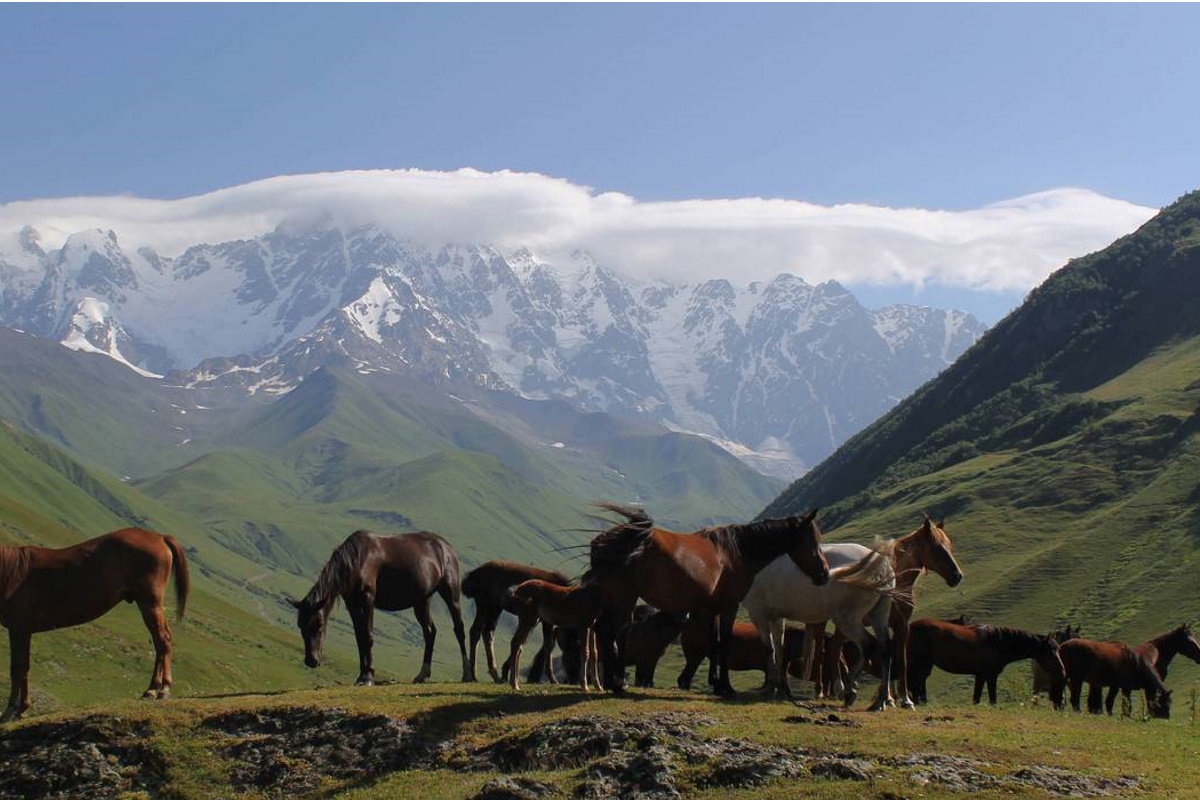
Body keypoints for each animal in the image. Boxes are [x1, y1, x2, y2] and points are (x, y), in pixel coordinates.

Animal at [0, 527, 189, 724]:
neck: (11, 572)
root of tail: (160, 537)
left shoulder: (19, 629)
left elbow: (17, 668)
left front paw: (12, 710)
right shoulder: (24, 631)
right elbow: (23, 668)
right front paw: (20, 708)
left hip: (149, 603)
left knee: (163, 640)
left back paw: (162, 689)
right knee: (159, 642)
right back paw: (152, 690)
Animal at [292, 532, 470, 690]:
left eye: (319, 625)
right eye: (301, 626)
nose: (311, 661)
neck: (358, 559)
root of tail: (446, 547)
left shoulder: (368, 599)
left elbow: (367, 635)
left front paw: (368, 677)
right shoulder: (352, 603)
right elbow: (359, 636)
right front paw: (362, 675)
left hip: (450, 593)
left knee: (459, 629)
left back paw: (467, 674)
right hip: (422, 600)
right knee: (430, 632)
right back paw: (422, 675)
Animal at [580, 503, 825, 695]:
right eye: (812, 540)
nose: (824, 573)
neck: (738, 551)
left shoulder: (711, 609)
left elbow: (714, 644)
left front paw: (715, 683)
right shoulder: (729, 606)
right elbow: (724, 643)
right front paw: (726, 687)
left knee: (606, 631)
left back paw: (612, 683)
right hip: (624, 597)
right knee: (611, 632)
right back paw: (615, 683)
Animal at [739, 542, 902, 710]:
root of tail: (880, 565)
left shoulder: (758, 614)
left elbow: (769, 650)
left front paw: (771, 688)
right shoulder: (776, 617)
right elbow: (779, 650)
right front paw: (780, 688)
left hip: (847, 620)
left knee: (868, 645)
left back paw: (850, 690)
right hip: (878, 616)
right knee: (885, 649)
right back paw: (882, 699)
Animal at [902, 623, 1065, 705]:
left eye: (1058, 649)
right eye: (1051, 652)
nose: (1062, 671)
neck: (998, 641)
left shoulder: (981, 675)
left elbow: (977, 697)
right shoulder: (991, 675)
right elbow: (992, 699)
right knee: (913, 682)